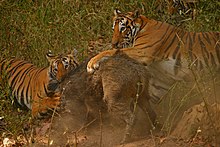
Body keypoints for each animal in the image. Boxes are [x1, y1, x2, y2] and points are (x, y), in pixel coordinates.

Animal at [87, 9, 220, 76]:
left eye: (123, 28)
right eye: (113, 29)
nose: (113, 43)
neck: (142, 26)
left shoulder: (142, 51)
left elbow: (112, 51)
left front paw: (91, 63)